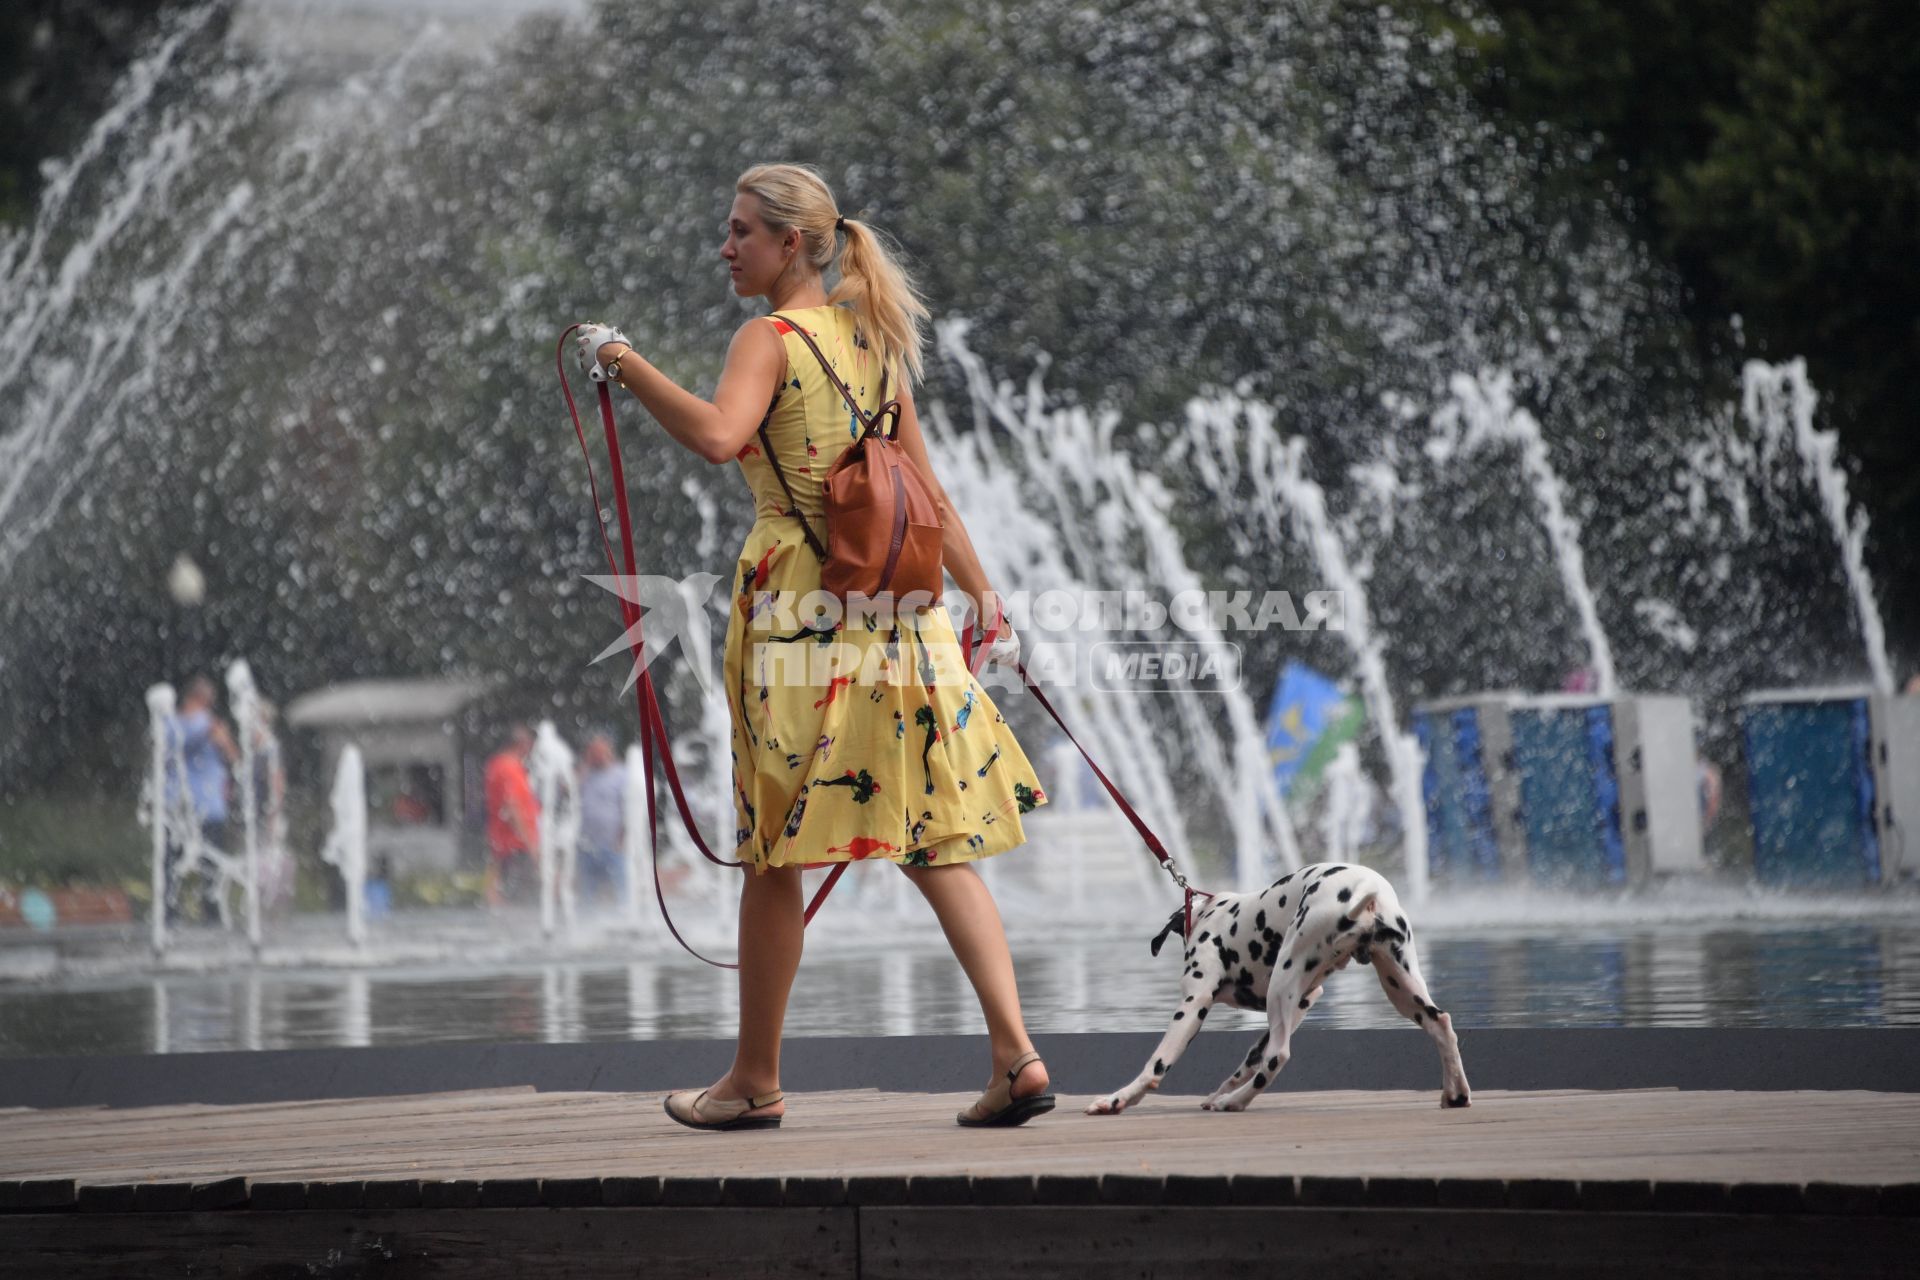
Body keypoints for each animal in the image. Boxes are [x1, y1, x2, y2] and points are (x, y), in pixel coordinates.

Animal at [1098, 867, 1466, 1113]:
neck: (1210, 914)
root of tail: (1369, 892)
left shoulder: (1194, 1002)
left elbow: (1157, 1063)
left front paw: (1118, 1099)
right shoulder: (1304, 1000)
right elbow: (1250, 1059)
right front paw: (1217, 1094)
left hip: (1283, 980)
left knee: (1279, 1055)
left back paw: (1234, 1103)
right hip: (1399, 985)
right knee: (1441, 1023)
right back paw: (1456, 1094)